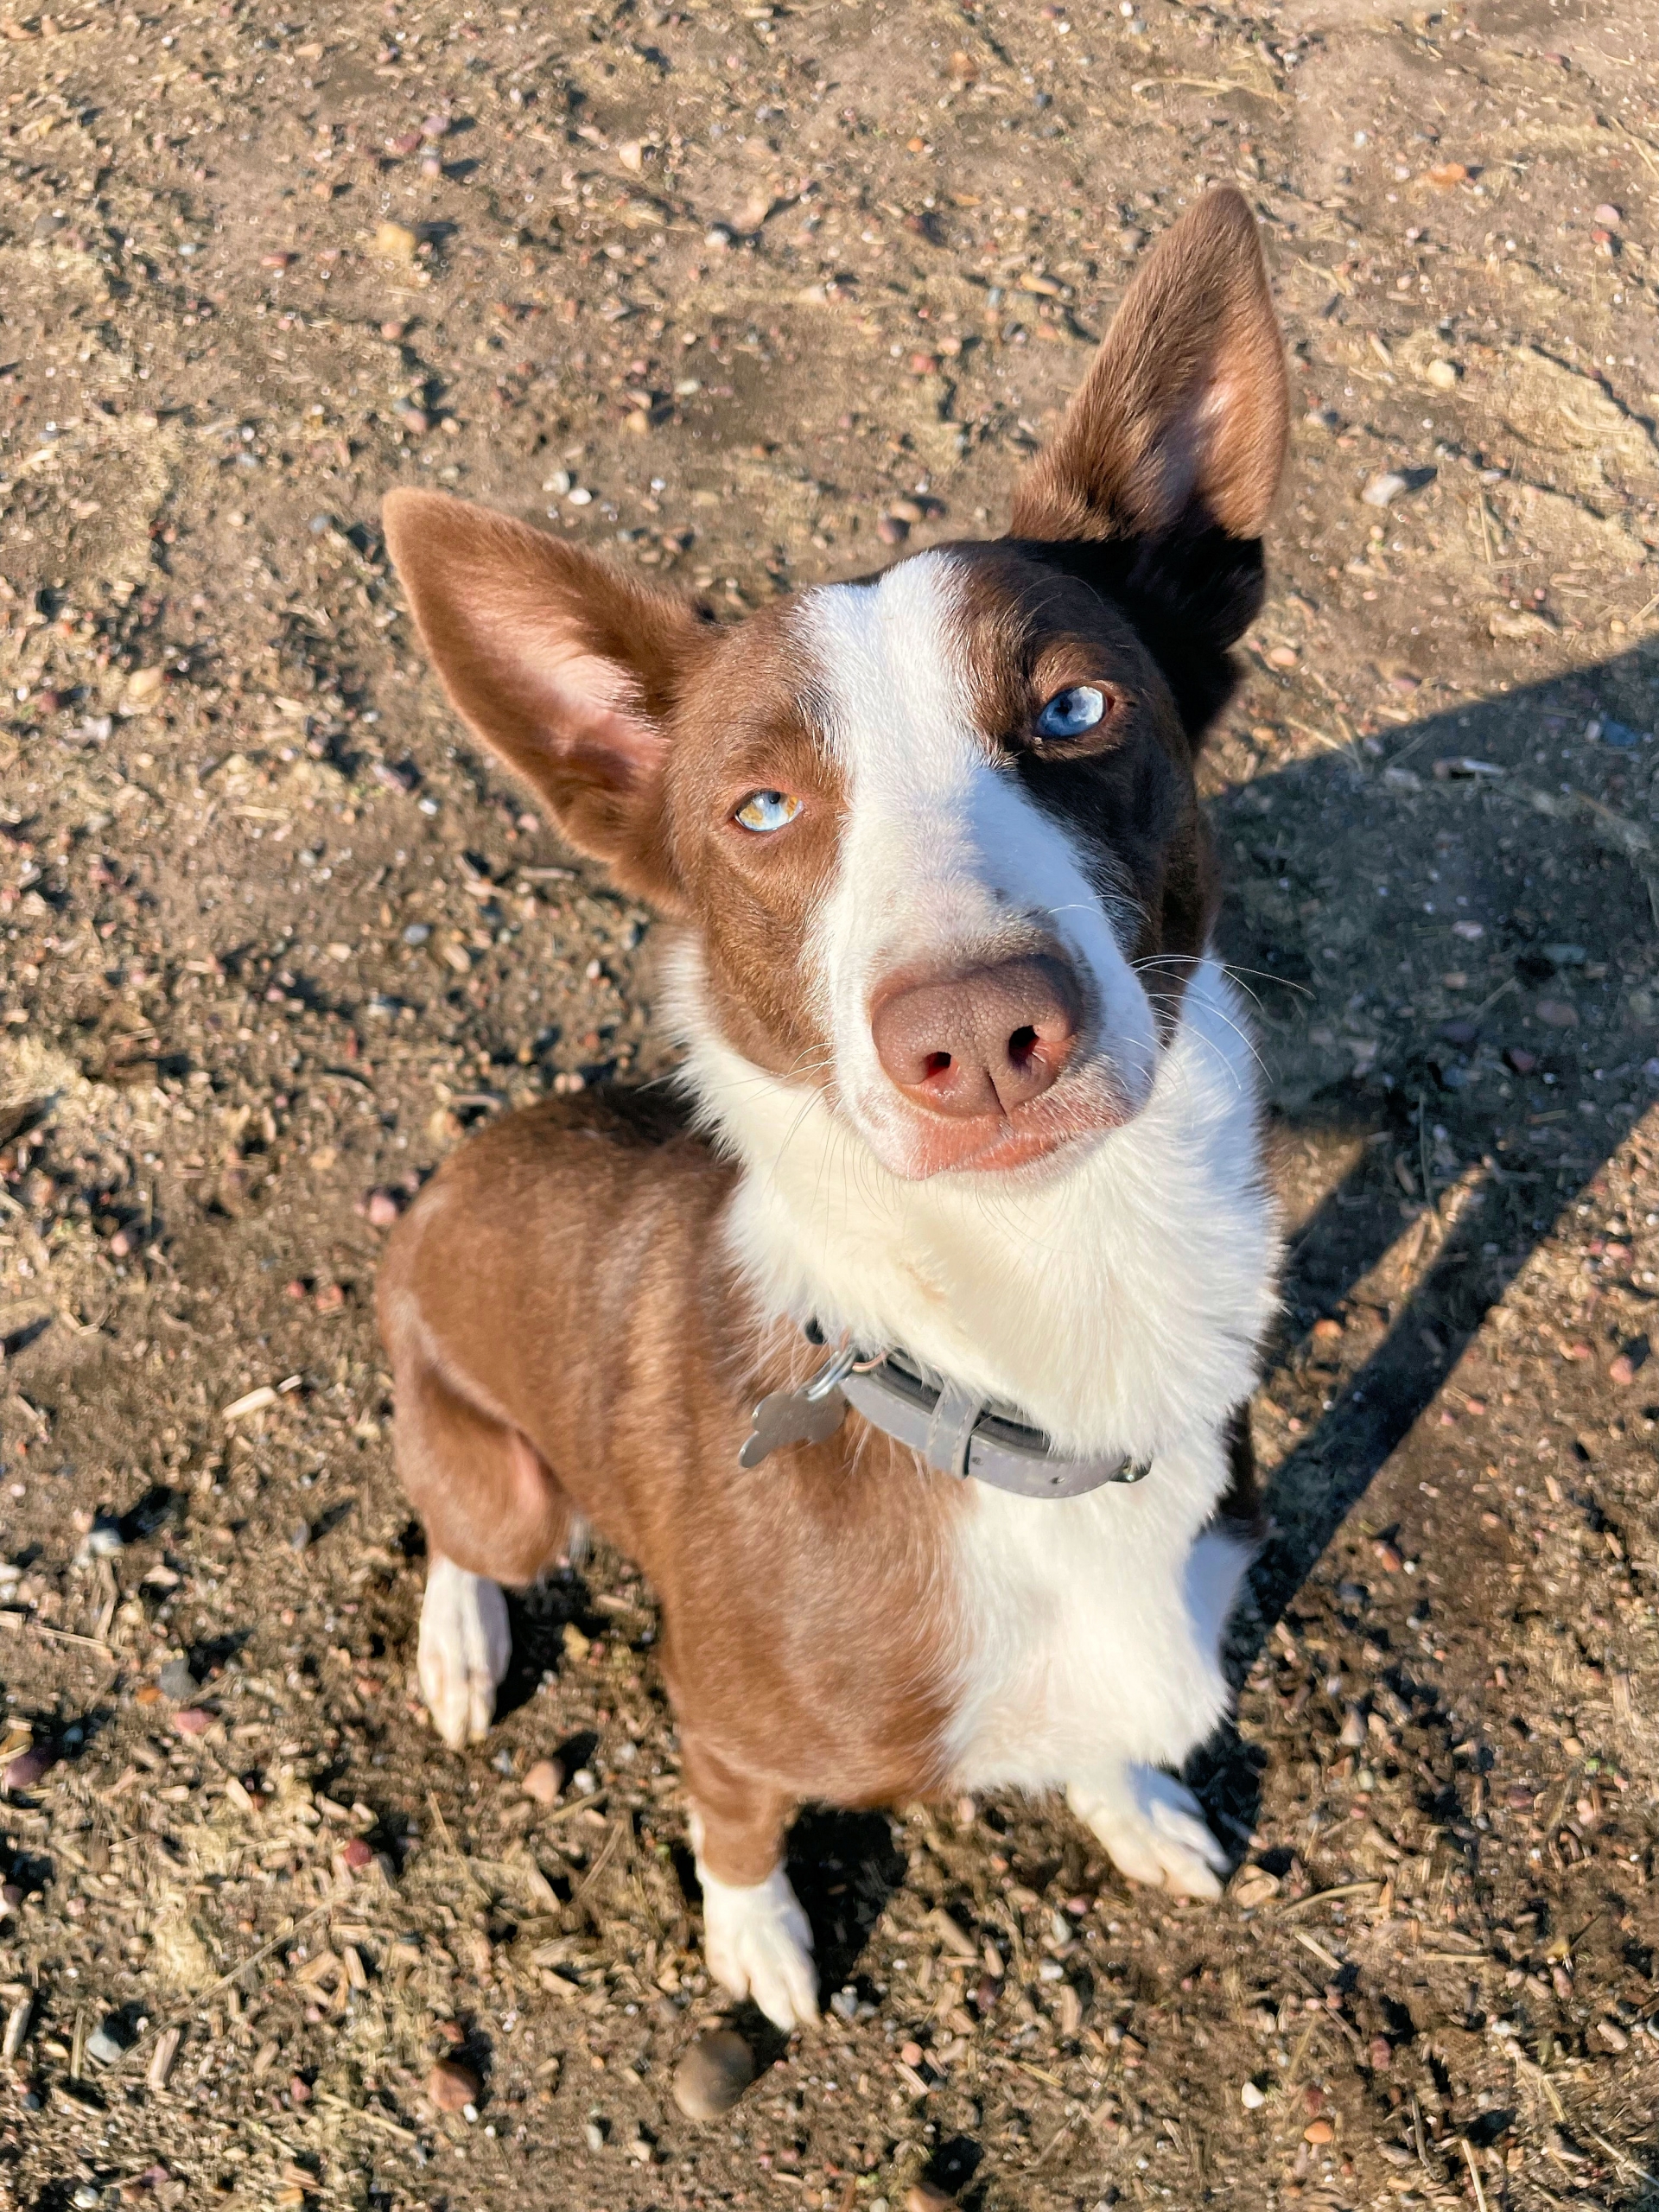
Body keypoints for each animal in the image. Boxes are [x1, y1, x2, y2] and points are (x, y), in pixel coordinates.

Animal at [382, 194, 1292, 2035]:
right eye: (759, 808)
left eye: (1077, 707)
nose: (983, 1036)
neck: (1045, 1333)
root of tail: (454, 1179)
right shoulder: (728, 1732)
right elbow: (735, 1835)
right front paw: (763, 1953)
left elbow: (1109, 1741)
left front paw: (1137, 1806)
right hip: (497, 1469)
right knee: (464, 1533)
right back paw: (460, 1640)